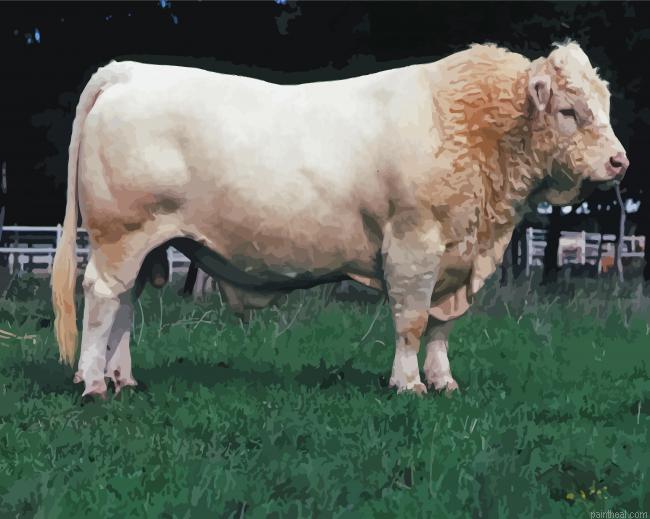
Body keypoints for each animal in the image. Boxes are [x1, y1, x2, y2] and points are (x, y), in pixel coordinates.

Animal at [51, 42, 628, 399]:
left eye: (605, 105)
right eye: (569, 111)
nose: (619, 161)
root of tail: (133, 70)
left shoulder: (460, 256)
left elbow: (442, 325)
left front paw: (444, 382)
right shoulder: (415, 245)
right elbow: (412, 321)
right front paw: (408, 385)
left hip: (145, 241)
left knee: (126, 303)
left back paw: (123, 379)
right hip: (119, 233)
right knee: (102, 296)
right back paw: (93, 383)